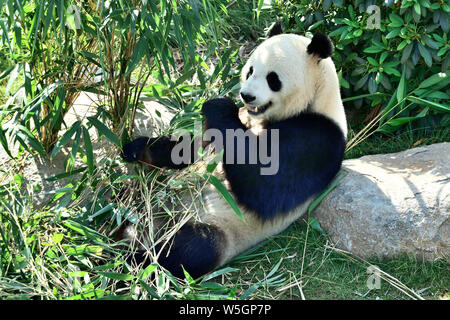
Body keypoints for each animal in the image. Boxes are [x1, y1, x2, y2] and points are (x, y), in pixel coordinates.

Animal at [120, 23, 348, 278]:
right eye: (250, 71)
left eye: (273, 78)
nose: (246, 95)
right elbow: (188, 149)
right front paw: (137, 148)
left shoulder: (320, 137)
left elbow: (266, 186)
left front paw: (218, 105)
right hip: (150, 205)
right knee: (131, 210)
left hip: (217, 225)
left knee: (191, 250)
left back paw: (130, 262)